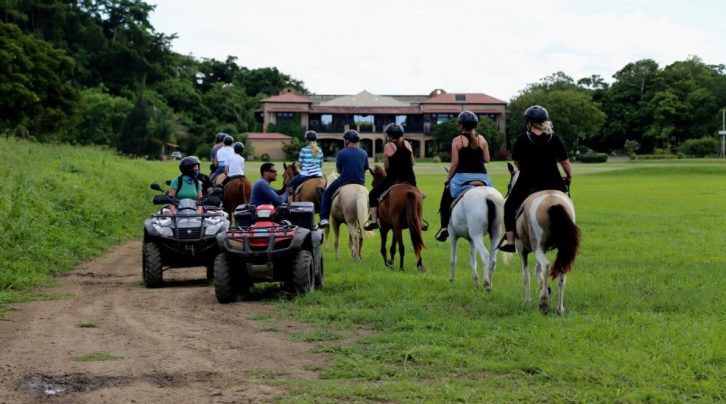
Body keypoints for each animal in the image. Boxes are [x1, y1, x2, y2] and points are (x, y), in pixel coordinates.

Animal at [510, 163, 584, 314]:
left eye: (509, 185)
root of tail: (553, 203)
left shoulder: (522, 250)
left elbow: (526, 275)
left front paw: (527, 301)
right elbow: (537, 271)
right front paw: (546, 288)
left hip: (537, 247)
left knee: (546, 265)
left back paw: (543, 302)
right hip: (560, 249)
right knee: (561, 274)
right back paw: (559, 308)